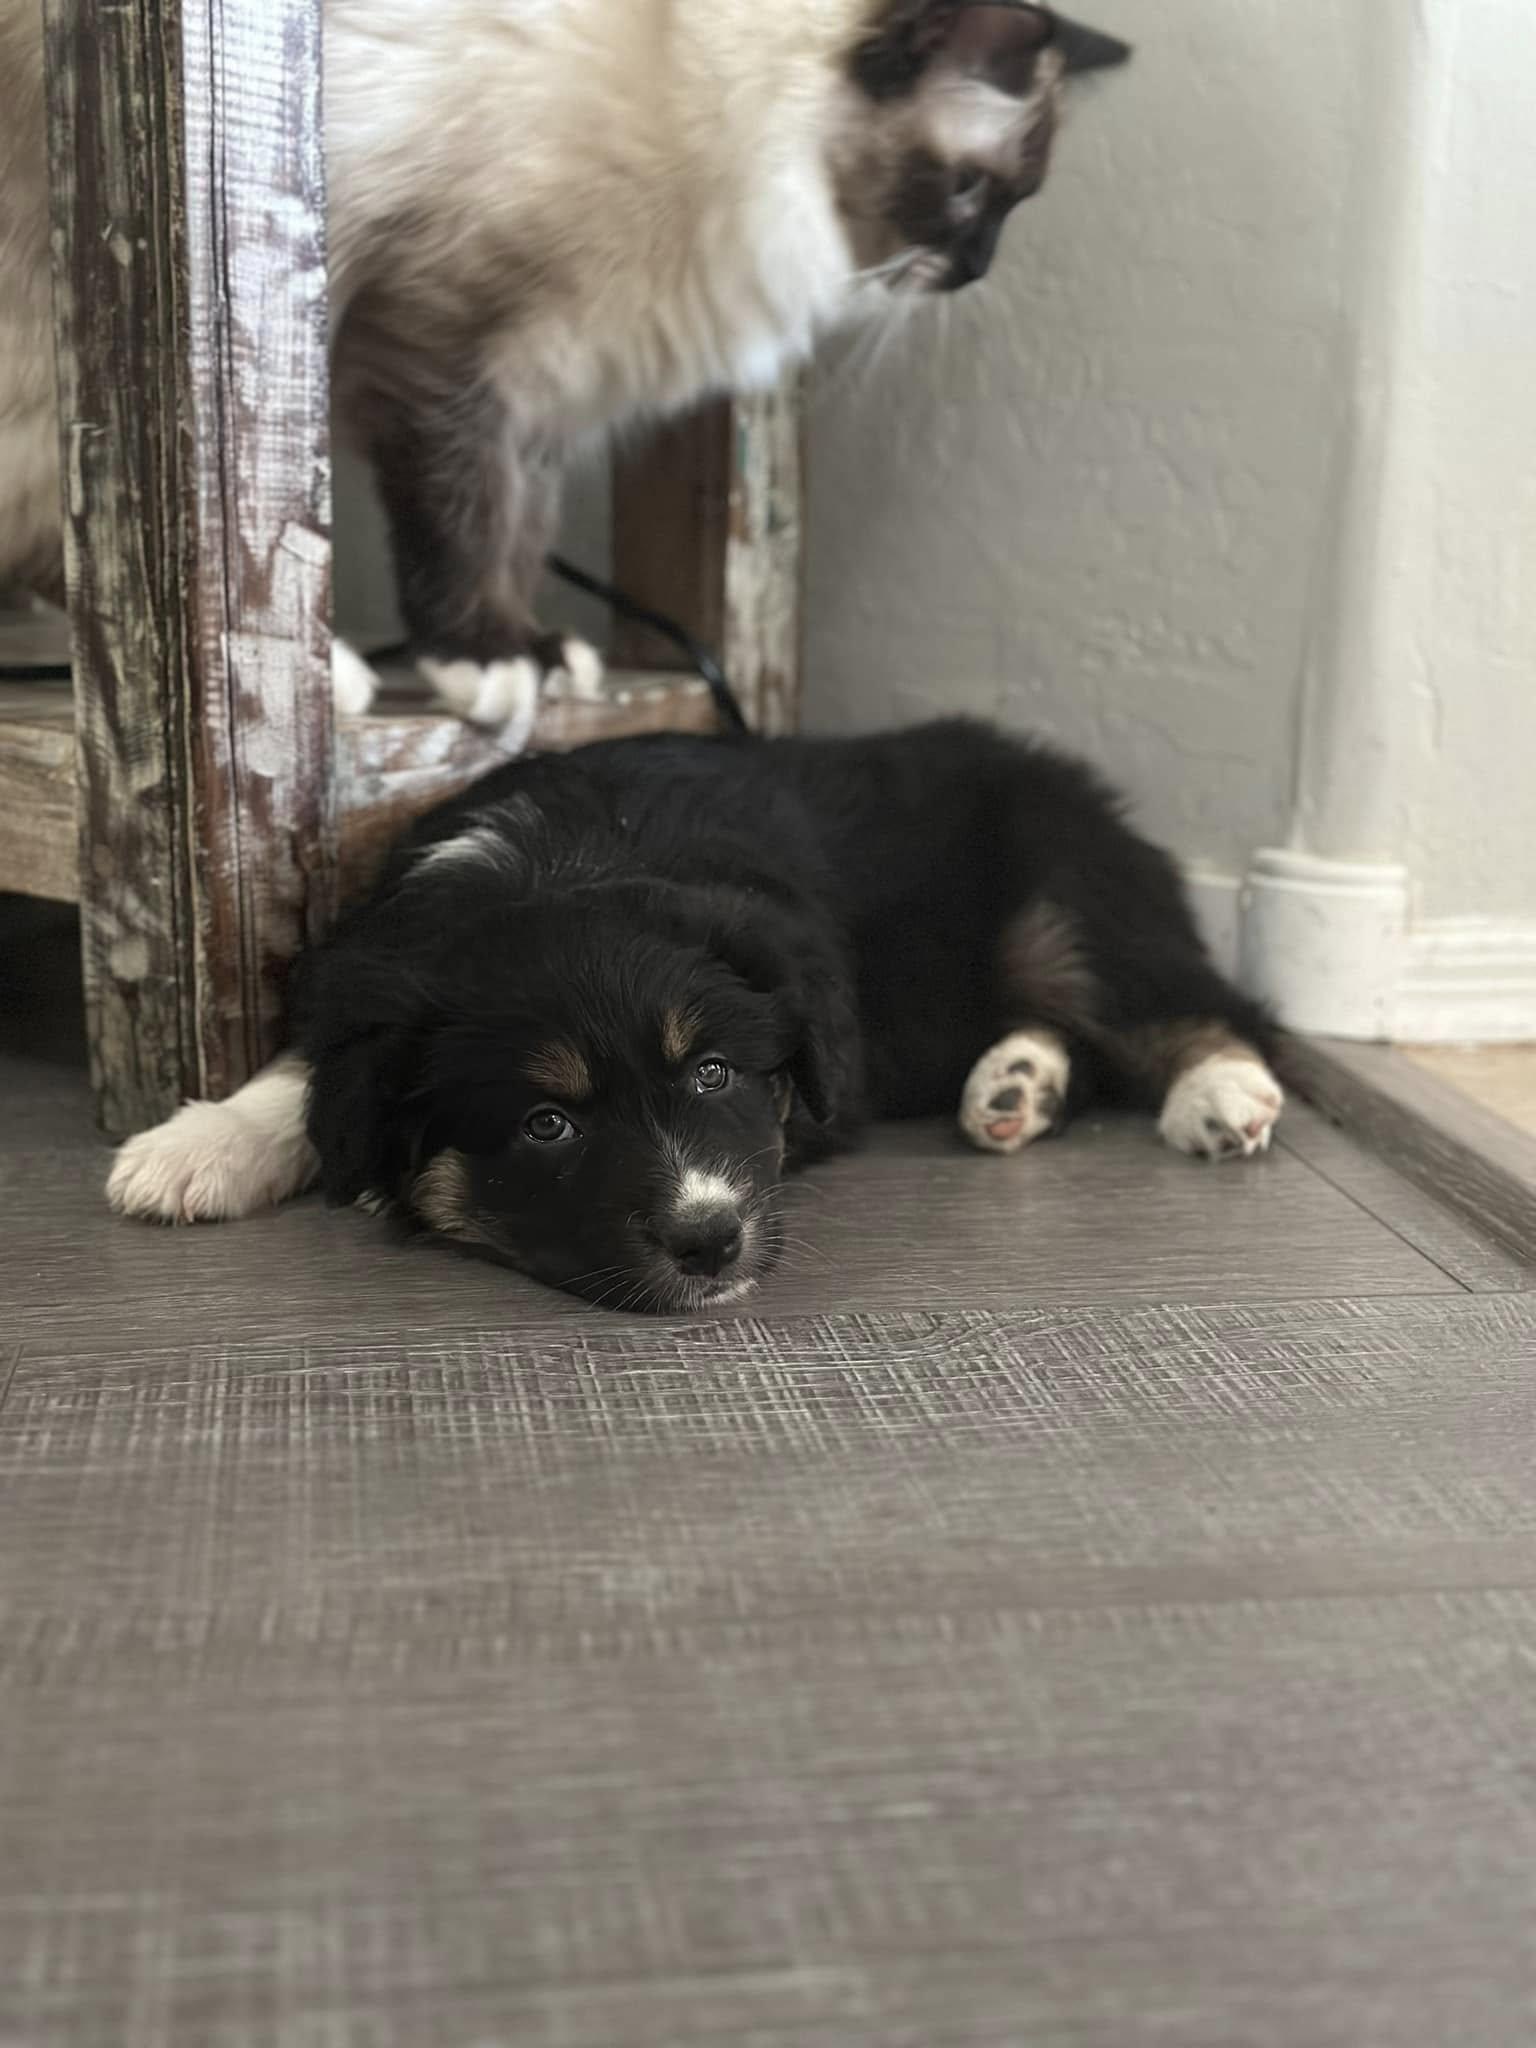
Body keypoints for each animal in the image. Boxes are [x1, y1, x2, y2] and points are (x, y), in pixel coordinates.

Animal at [0, 0, 1129, 726]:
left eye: (1015, 207)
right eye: (974, 194)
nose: (976, 273)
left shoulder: (543, 392)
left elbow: (518, 531)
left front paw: (544, 654)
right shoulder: (440, 348)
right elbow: (462, 524)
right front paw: (487, 660)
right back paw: (329, 674)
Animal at [107, 721, 1285, 1313]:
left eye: (714, 1073)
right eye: (547, 1124)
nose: (711, 1240)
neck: (567, 857)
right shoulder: (371, 980)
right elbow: (306, 1073)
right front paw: (193, 1148)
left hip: (1064, 897)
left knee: (1195, 1001)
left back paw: (1222, 1093)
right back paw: (1014, 1087)